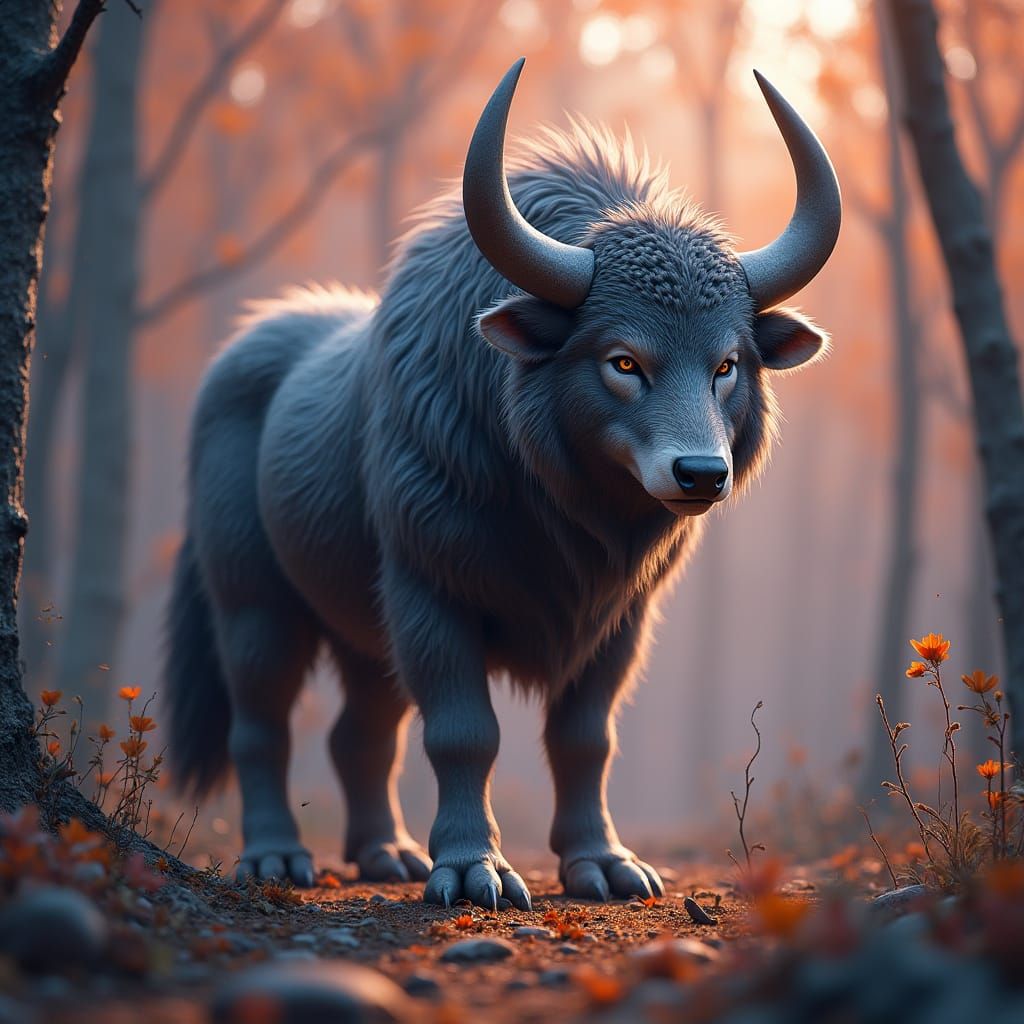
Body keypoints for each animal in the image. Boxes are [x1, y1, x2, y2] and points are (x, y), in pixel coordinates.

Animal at [164, 59, 840, 910]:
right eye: (623, 359)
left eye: (727, 363)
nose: (700, 473)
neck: (554, 509)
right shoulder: (430, 594)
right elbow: (463, 733)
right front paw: (470, 866)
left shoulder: (619, 620)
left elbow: (585, 737)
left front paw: (602, 861)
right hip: (254, 604)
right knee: (262, 725)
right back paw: (276, 856)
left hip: (364, 633)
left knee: (359, 733)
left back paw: (385, 852)